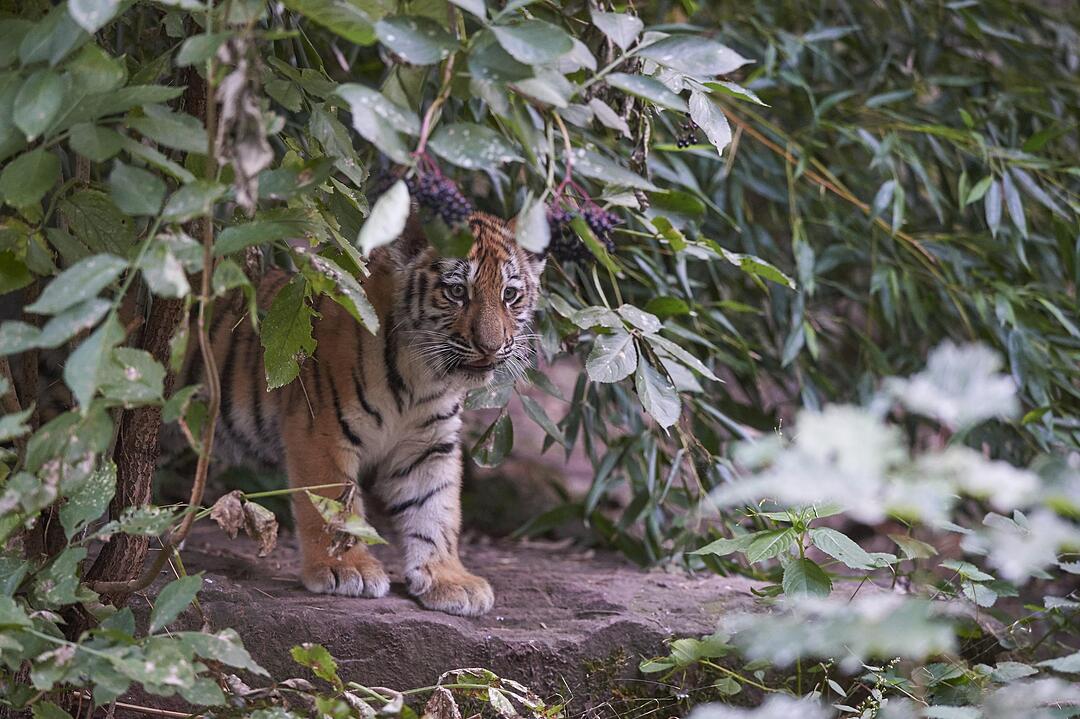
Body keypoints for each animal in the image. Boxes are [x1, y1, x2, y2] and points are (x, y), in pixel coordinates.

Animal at [187, 212, 544, 616]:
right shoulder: (320, 430)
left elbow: (436, 508)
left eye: (509, 295)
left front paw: (448, 578)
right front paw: (345, 568)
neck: (423, 376)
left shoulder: (430, 443)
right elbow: (331, 505)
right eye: (456, 292)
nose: (490, 346)